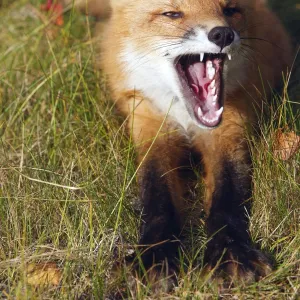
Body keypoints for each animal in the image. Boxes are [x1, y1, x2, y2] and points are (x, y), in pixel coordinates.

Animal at [80, 0, 292, 288]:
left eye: (230, 10)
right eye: (172, 14)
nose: (222, 34)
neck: (186, 118)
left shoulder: (229, 129)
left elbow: (228, 196)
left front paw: (231, 252)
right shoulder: (149, 124)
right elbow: (157, 196)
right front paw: (155, 256)